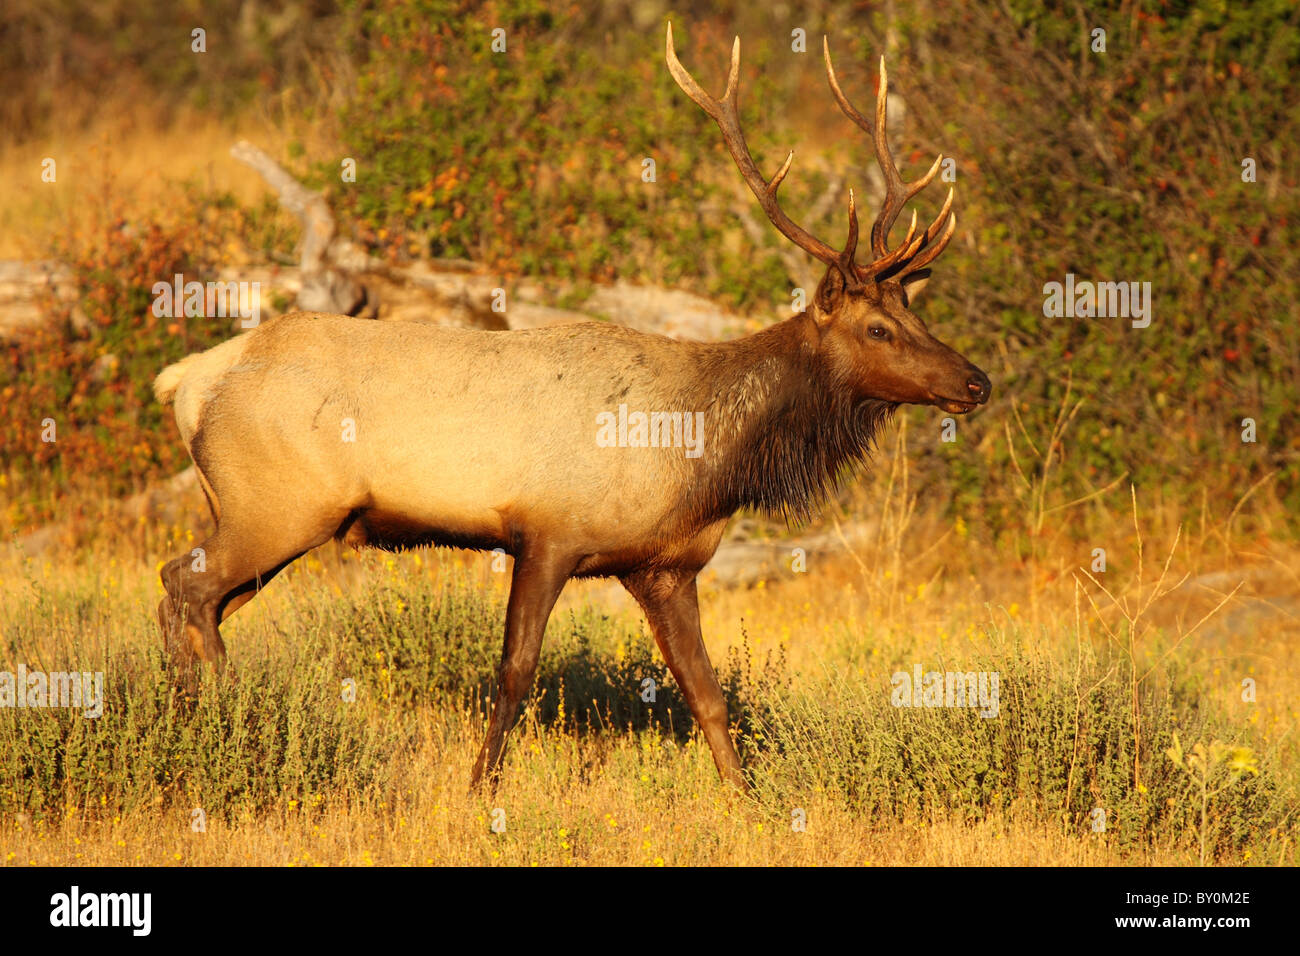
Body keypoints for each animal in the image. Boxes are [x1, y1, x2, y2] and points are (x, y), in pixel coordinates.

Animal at [154, 27, 982, 790]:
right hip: (280, 505)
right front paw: (476, 789)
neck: (699, 455)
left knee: (191, 596)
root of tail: (189, 379)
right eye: (877, 328)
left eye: (913, 309)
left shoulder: (665, 566)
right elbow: (515, 673)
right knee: (186, 587)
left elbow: (707, 695)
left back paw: (190, 728)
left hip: (263, 514)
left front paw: (747, 803)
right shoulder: (548, 532)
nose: (976, 382)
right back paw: (230, 726)